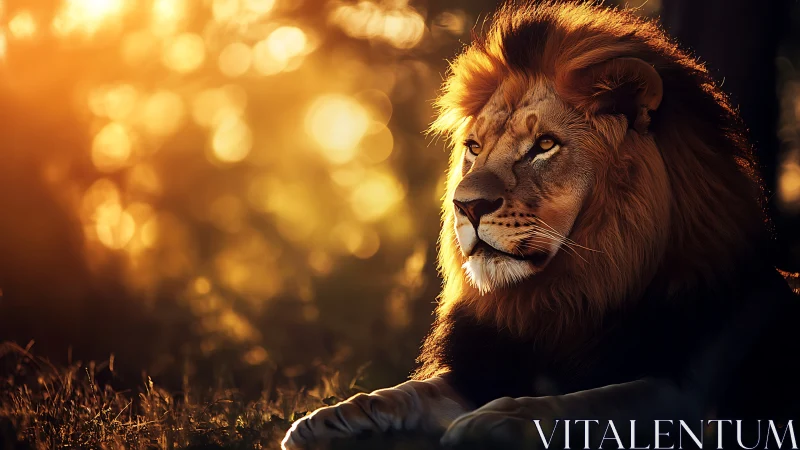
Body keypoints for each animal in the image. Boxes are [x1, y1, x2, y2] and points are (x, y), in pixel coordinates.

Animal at [283, 2, 800, 449]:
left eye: (544, 145)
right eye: (474, 148)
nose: (465, 206)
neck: (568, 297)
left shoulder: (688, 389)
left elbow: (592, 401)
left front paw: (499, 418)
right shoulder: (484, 366)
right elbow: (408, 391)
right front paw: (329, 417)